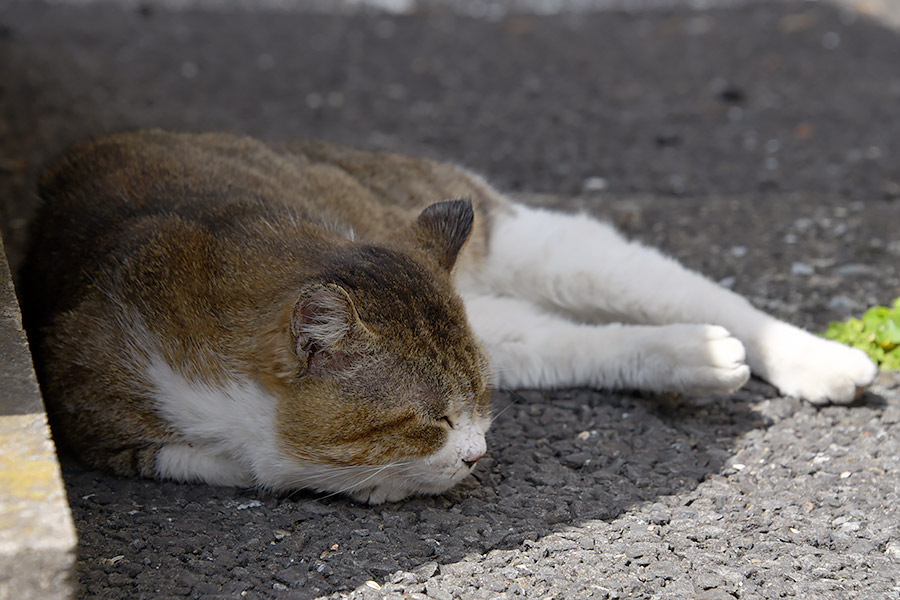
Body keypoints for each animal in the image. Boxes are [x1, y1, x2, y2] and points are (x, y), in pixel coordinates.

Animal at [22, 130, 880, 502]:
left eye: (474, 410)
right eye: (433, 419)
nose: (477, 455)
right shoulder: (97, 419)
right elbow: (236, 465)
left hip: (537, 243)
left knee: (693, 292)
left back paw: (814, 358)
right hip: (503, 318)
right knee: (570, 339)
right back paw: (697, 356)